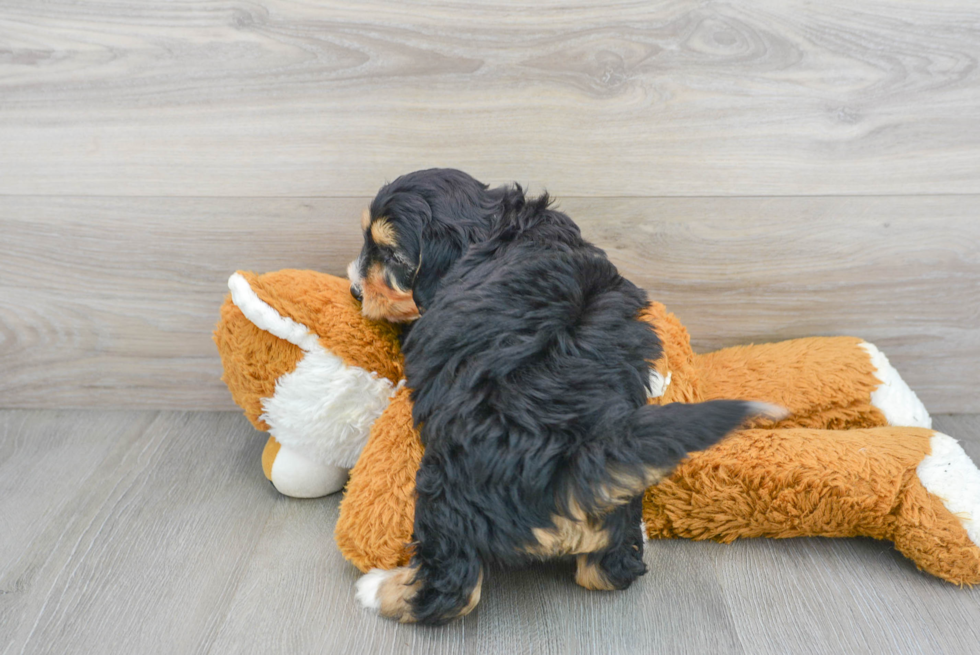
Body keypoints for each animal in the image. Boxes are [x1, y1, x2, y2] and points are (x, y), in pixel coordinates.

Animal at [348, 168, 776, 624]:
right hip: (613, 514)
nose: (355, 290)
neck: (492, 227)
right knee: (607, 572)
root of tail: (573, 456)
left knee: (453, 588)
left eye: (393, 256)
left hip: (442, 490)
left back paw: (380, 589)